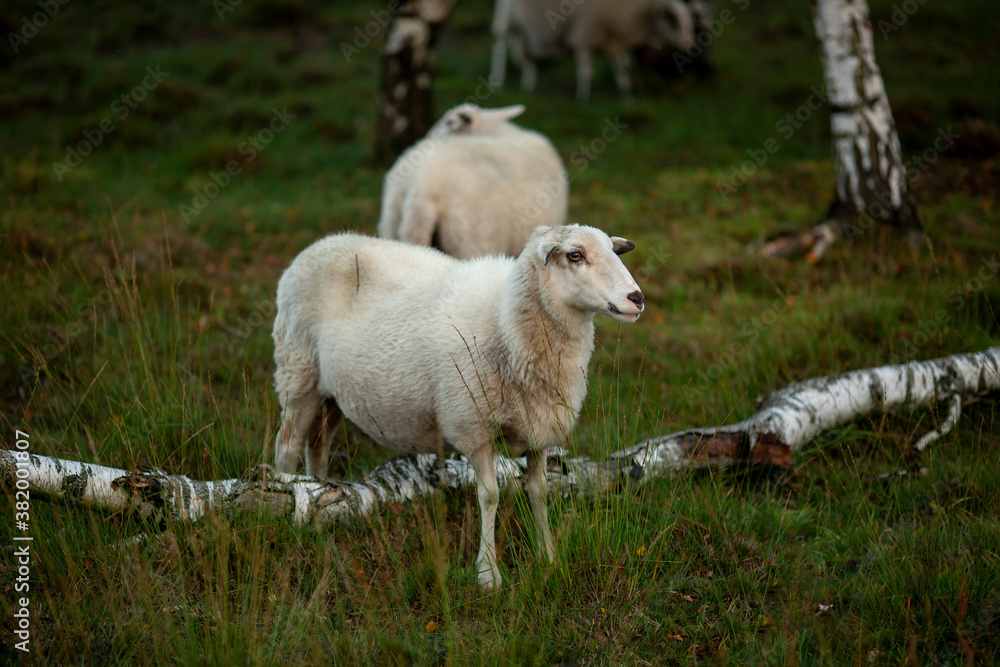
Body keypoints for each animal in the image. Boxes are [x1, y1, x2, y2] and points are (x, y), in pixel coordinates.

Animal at [272, 224, 644, 589]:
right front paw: (488, 574)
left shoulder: (540, 428)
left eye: (612, 250)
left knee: (318, 445)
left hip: (331, 393)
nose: (637, 298)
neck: (504, 322)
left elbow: (539, 492)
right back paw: (289, 494)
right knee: (287, 446)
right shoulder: (472, 425)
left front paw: (548, 558)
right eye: (575, 255)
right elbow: (489, 495)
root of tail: (322, 242)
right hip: (297, 372)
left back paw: (321, 491)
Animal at [489, 0, 696, 101]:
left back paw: (528, 86)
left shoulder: (612, 40)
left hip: (524, 31)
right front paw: (583, 98)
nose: (689, 45)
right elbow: (586, 71)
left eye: (688, 19)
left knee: (526, 56)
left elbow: (620, 69)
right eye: (671, 18)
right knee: (499, 48)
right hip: (506, 21)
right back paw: (497, 82)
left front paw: (626, 95)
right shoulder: (584, 32)